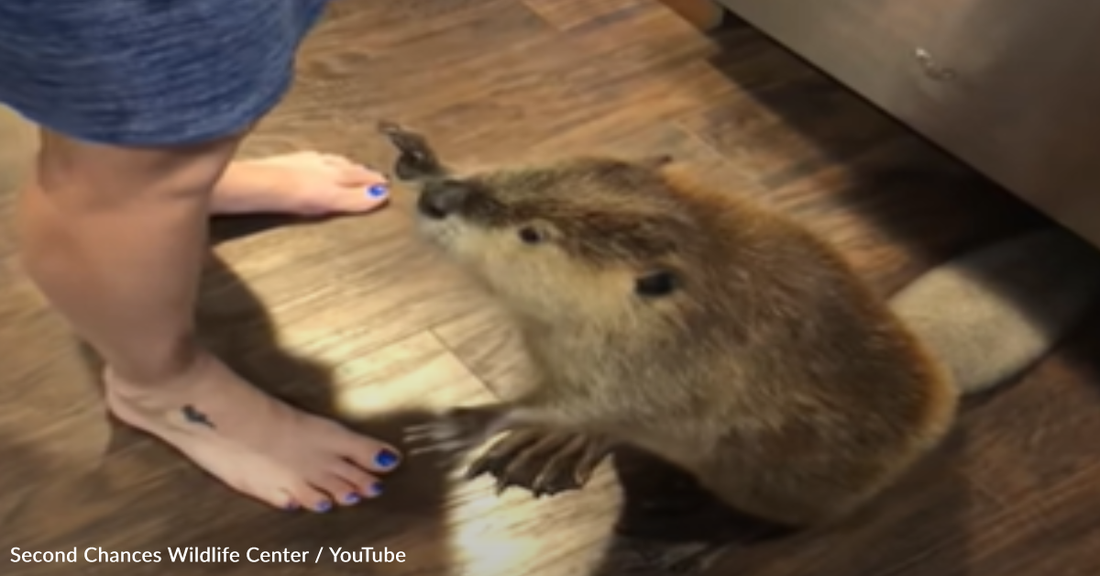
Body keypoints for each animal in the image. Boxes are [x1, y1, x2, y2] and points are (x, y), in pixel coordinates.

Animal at [380, 120, 1100, 532]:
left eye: (533, 234)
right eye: (531, 174)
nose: (439, 201)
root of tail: (943, 372)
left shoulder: (666, 366)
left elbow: (588, 401)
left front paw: (461, 424)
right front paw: (419, 156)